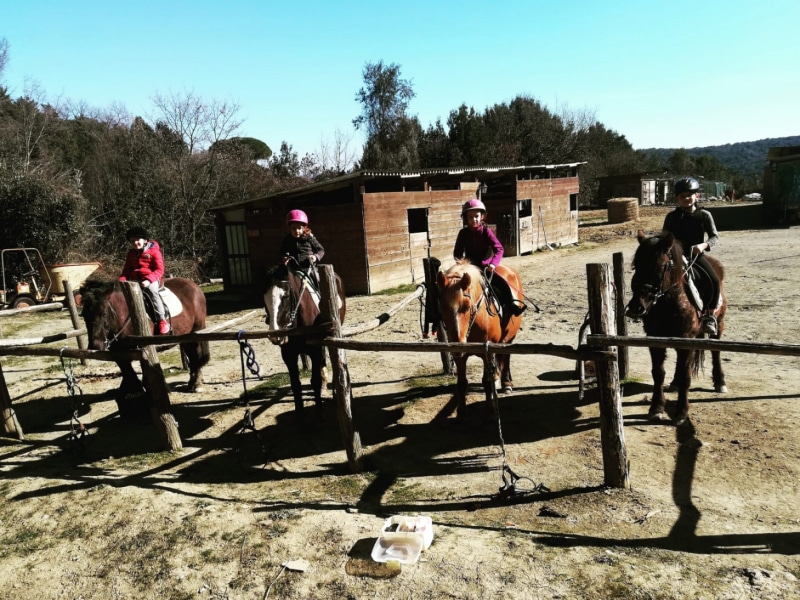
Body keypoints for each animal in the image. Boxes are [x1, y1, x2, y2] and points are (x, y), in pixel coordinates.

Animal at [79, 276, 206, 412]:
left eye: (104, 313)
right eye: (84, 315)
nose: (94, 346)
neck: (126, 314)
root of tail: (193, 285)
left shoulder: (143, 347)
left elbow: (144, 370)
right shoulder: (118, 352)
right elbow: (128, 371)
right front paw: (134, 391)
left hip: (196, 330)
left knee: (197, 354)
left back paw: (197, 384)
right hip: (185, 336)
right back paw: (192, 382)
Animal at [264, 264, 346, 422]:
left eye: (285, 296)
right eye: (264, 298)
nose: (275, 336)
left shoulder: (315, 350)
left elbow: (314, 381)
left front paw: (319, 413)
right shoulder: (289, 355)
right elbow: (295, 384)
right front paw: (300, 414)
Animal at [438, 260, 524, 420]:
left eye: (467, 306)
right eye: (442, 307)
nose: (458, 344)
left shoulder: (487, 353)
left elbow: (486, 382)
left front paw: (490, 408)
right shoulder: (459, 356)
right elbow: (462, 383)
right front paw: (462, 412)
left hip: (509, 338)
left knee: (506, 357)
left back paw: (506, 383)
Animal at [620, 231, 728, 426]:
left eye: (660, 266)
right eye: (636, 266)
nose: (637, 307)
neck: (667, 303)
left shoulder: (686, 341)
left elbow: (686, 376)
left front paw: (681, 412)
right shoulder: (655, 340)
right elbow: (658, 373)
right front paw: (656, 408)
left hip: (719, 323)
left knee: (715, 351)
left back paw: (720, 382)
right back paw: (675, 383)